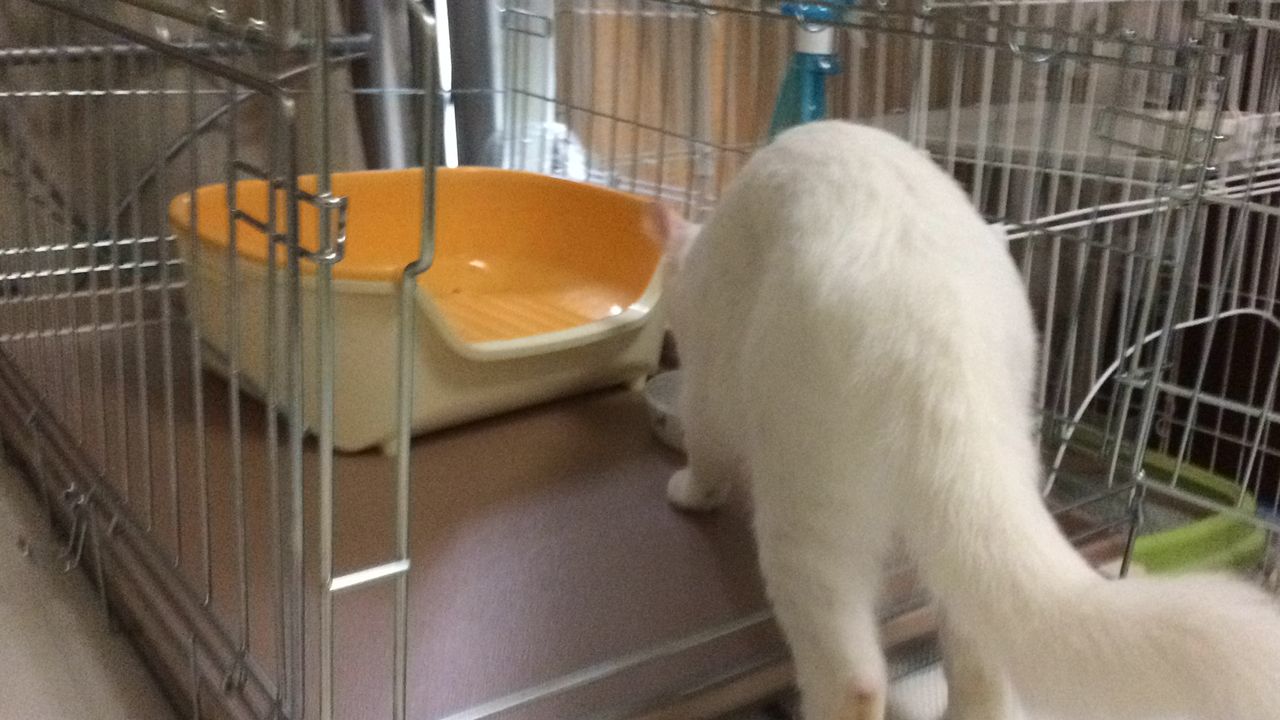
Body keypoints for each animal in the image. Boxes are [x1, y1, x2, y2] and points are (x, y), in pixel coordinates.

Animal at [649, 119, 1280, 720]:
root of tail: (942, 334)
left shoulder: (708, 377)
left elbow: (704, 443)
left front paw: (689, 487)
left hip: (803, 506)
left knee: (854, 680)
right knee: (978, 655)